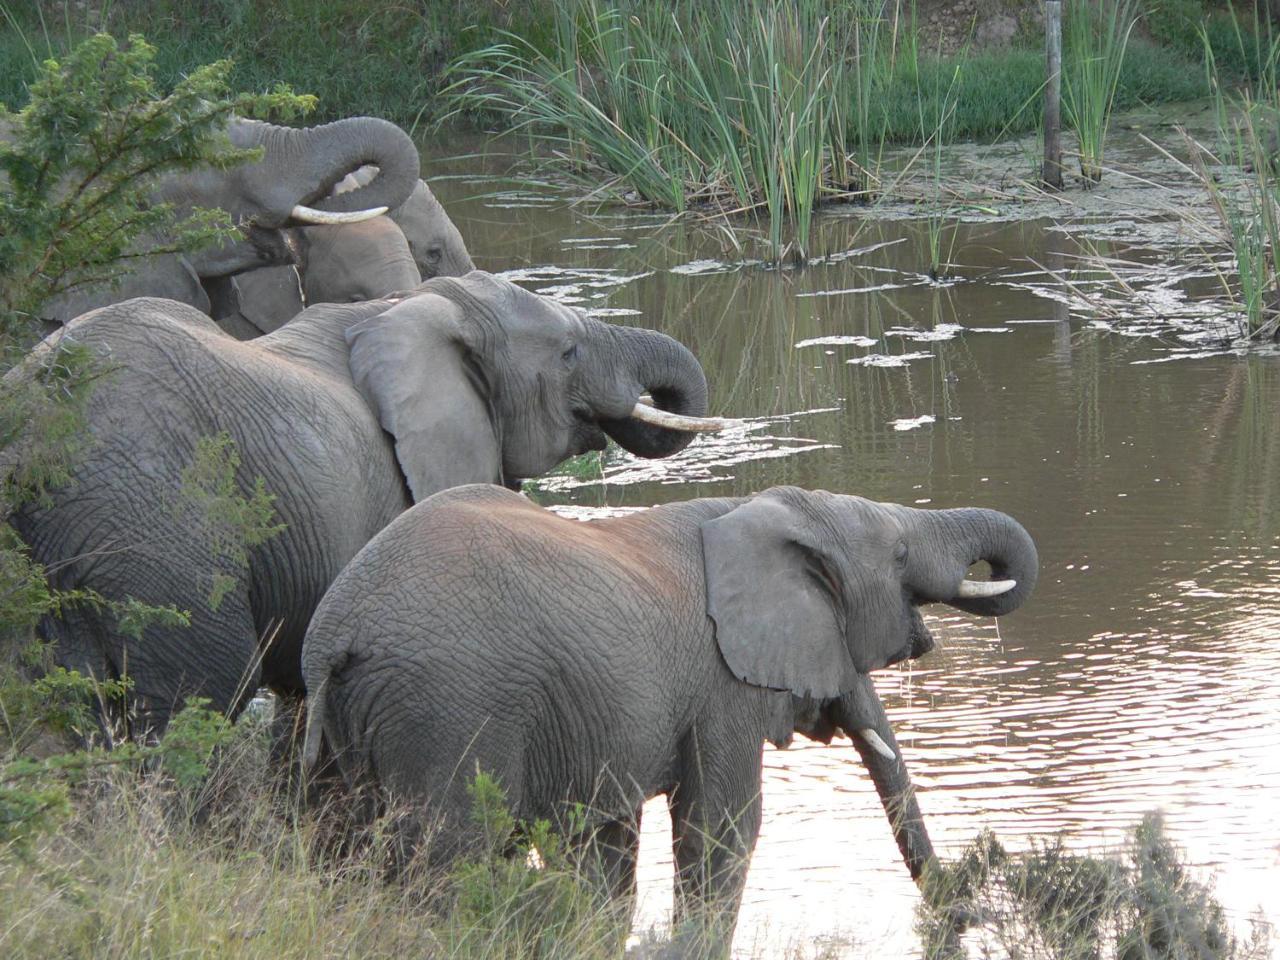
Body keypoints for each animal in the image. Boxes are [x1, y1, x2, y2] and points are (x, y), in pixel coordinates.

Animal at [302, 483, 1039, 957]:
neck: (760, 513)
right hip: (449, 708)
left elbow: (603, 847)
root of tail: (338, 634)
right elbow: (722, 827)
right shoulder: (721, 689)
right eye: (900, 559)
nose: (963, 915)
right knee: (450, 862)